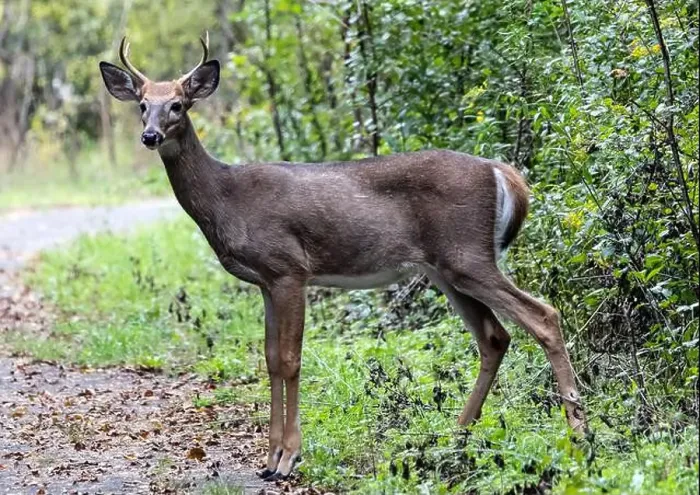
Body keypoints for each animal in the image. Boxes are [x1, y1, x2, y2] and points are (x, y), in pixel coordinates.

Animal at [99, 34, 587, 481]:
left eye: (178, 105)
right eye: (142, 104)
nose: (150, 135)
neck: (227, 198)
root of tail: (503, 172)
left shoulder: (291, 269)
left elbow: (291, 360)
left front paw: (289, 459)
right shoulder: (265, 282)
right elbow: (270, 359)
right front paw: (268, 461)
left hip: (467, 255)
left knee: (543, 315)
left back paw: (578, 433)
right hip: (446, 269)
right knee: (495, 337)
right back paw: (455, 438)